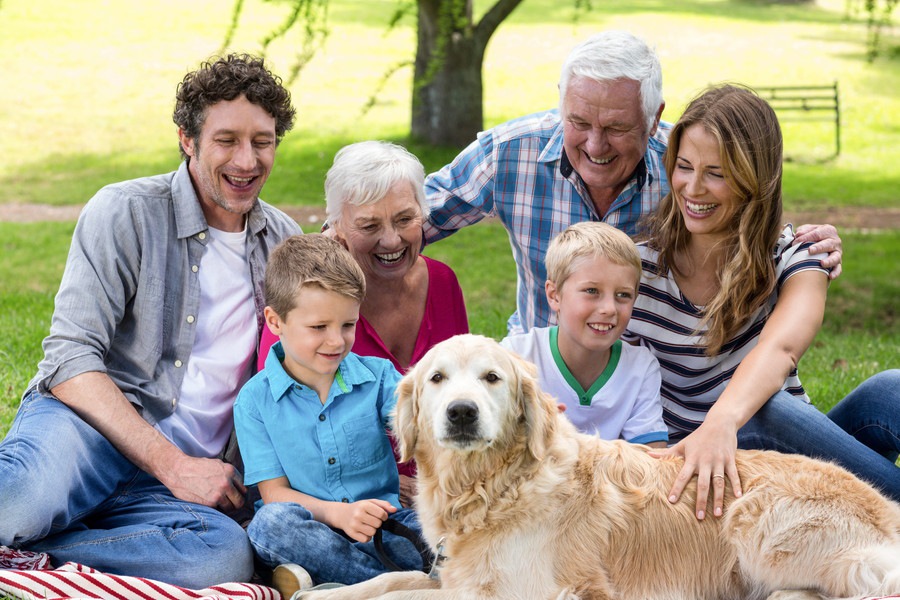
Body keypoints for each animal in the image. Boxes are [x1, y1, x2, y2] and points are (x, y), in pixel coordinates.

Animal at [298, 336, 900, 596]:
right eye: (437, 378)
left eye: (492, 378)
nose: (462, 412)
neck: (494, 489)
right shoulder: (452, 574)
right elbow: (391, 577)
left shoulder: (535, 591)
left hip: (760, 527)